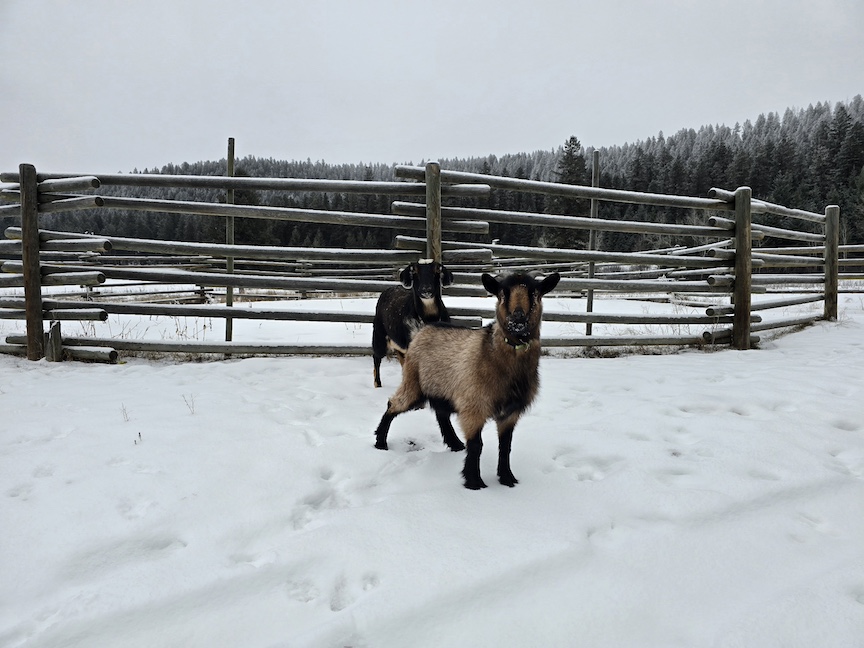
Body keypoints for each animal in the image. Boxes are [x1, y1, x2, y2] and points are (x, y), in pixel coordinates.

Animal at [372, 259, 453, 388]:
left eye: (436, 270)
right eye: (415, 271)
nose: (426, 289)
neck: (428, 318)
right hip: (379, 335)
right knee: (376, 357)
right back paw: (377, 384)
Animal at [373, 271, 560, 489]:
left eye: (535, 293)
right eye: (502, 294)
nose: (518, 321)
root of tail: (423, 329)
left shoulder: (510, 412)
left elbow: (505, 446)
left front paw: (507, 478)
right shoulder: (474, 406)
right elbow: (477, 445)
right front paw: (474, 482)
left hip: (441, 387)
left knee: (440, 413)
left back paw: (454, 443)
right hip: (413, 381)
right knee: (393, 404)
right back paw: (380, 442)